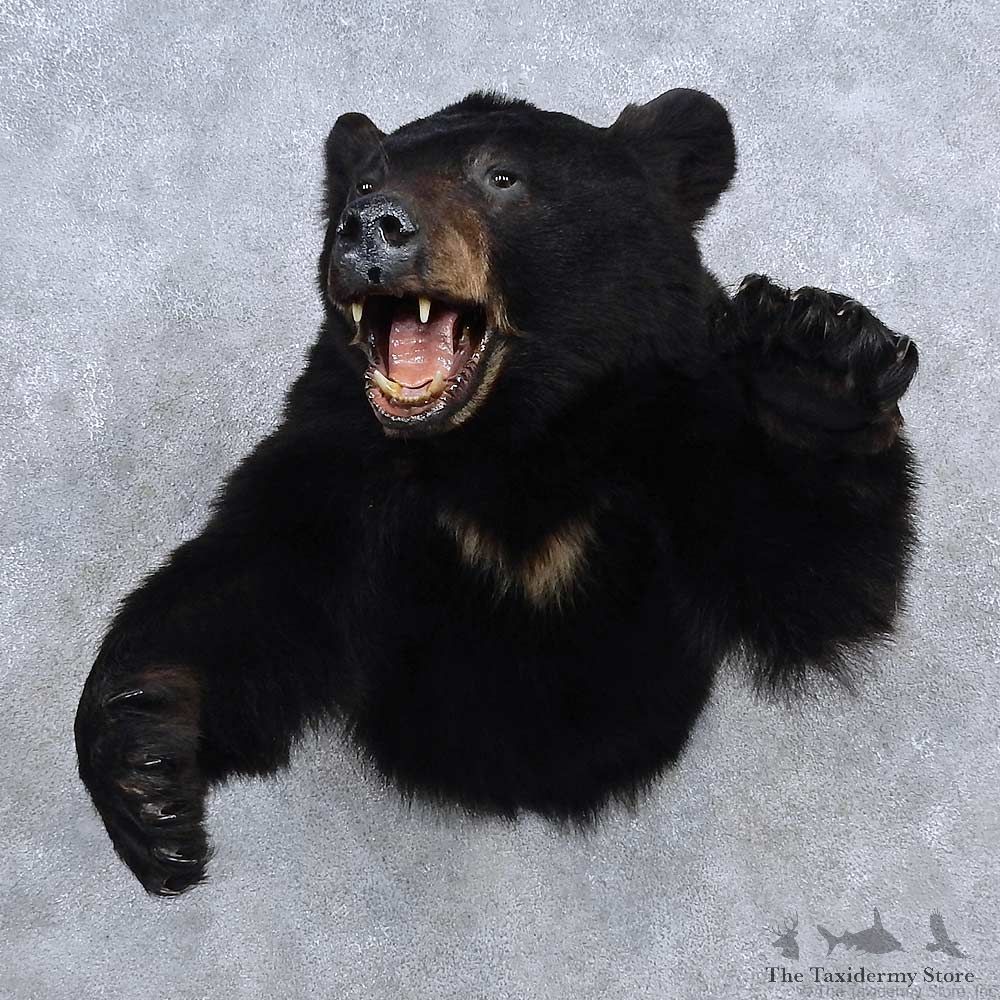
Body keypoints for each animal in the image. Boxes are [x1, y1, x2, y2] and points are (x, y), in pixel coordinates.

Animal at [74, 89, 919, 896]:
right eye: (367, 179)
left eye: (502, 178)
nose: (372, 228)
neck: (513, 445)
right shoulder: (341, 457)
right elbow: (253, 594)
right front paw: (143, 763)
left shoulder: (672, 428)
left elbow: (808, 570)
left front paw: (816, 359)